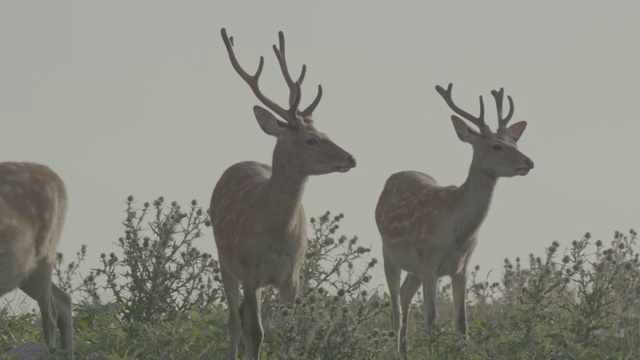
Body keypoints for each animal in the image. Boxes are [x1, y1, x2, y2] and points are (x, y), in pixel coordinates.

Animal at [212, 28, 358, 360]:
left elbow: (289, 334)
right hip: (225, 260)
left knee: (240, 314)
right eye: (310, 140)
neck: (275, 233)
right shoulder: (250, 272)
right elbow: (257, 332)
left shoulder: (292, 276)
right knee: (234, 319)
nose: (350, 158)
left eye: (325, 133)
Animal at [376, 82, 536, 354]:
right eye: (496, 146)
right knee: (396, 309)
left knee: (405, 298)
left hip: (414, 268)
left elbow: (462, 325)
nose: (529, 162)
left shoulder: (462, 266)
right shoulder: (430, 261)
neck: (456, 233)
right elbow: (431, 323)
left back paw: (405, 351)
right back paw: (397, 350)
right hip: (389, 254)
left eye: (515, 141)